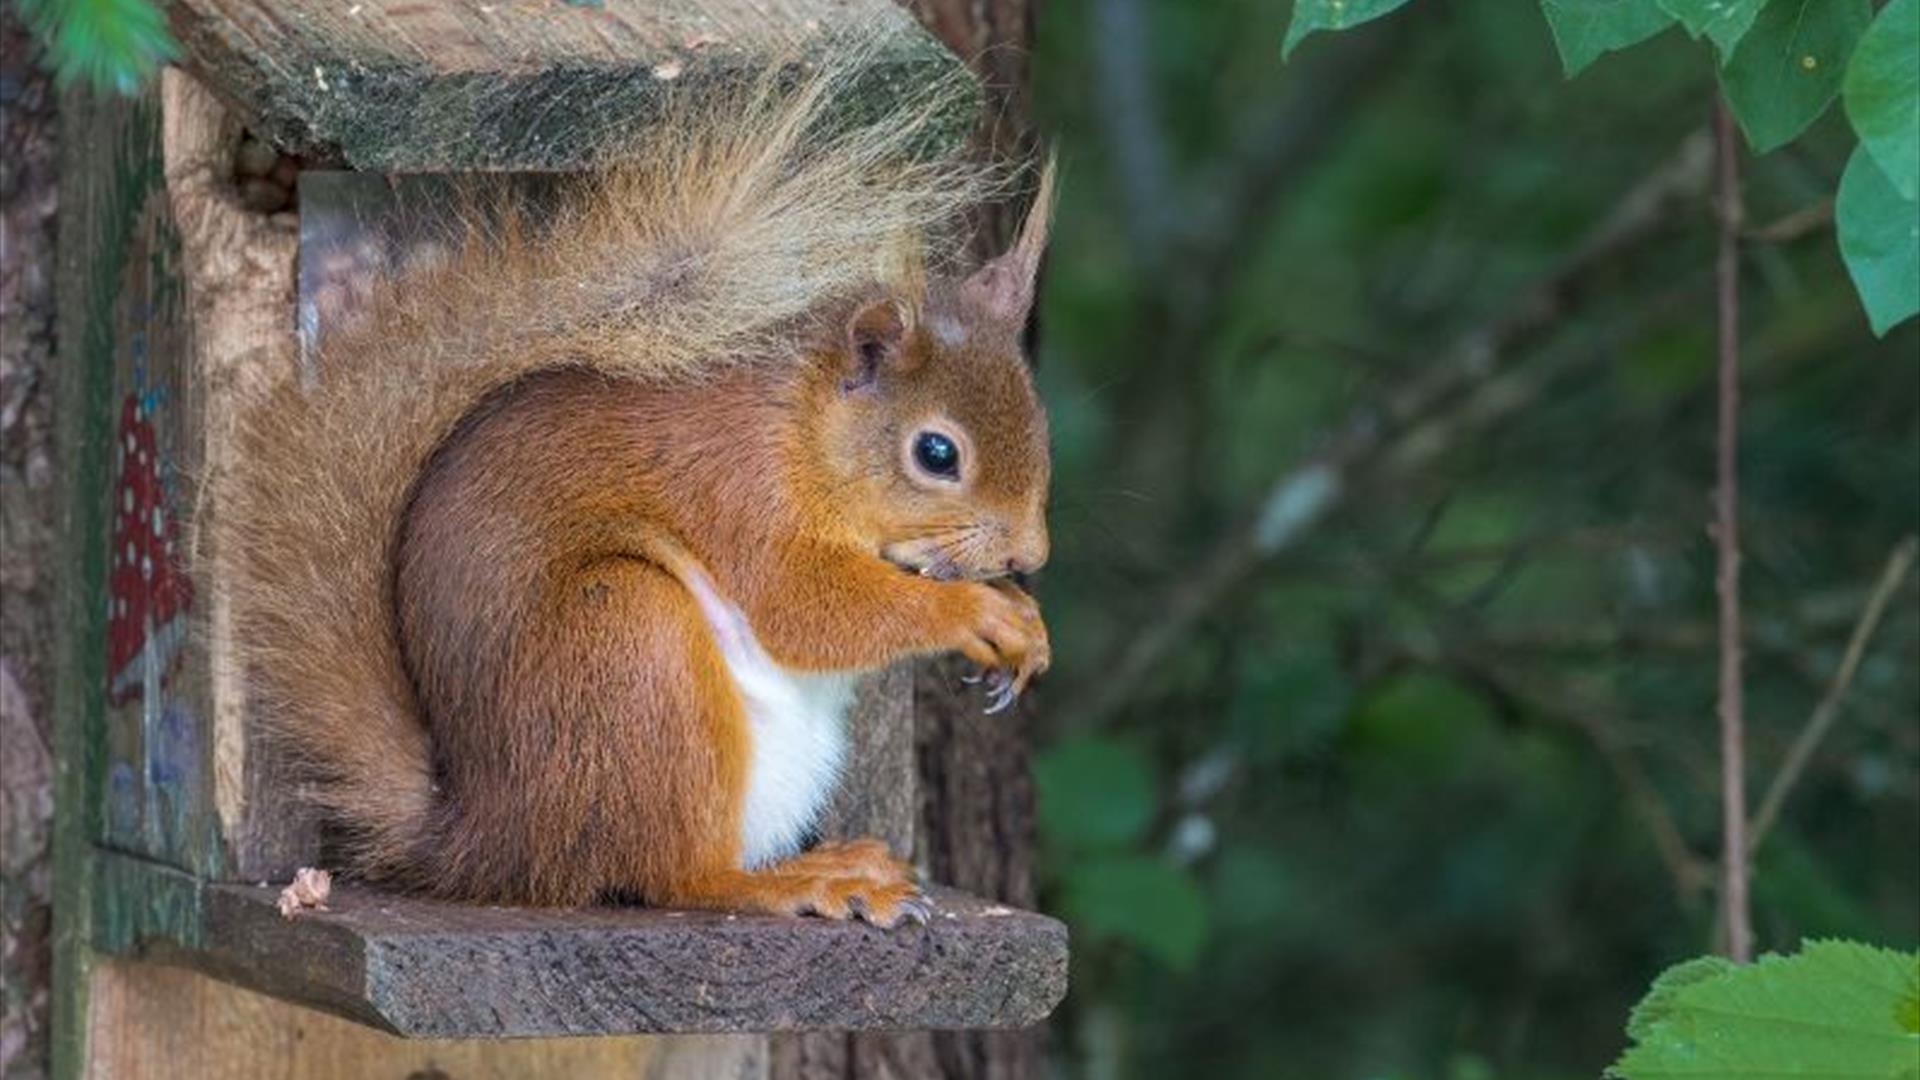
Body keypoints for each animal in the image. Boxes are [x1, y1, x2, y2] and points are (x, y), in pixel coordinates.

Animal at [217, 52, 1059, 926]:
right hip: (630, 640)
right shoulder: (739, 492)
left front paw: (1025, 625)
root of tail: (493, 840)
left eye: (1039, 418)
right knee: (678, 875)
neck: (804, 429)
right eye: (936, 452)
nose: (1032, 554)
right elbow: (803, 609)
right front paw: (976, 612)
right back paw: (805, 881)